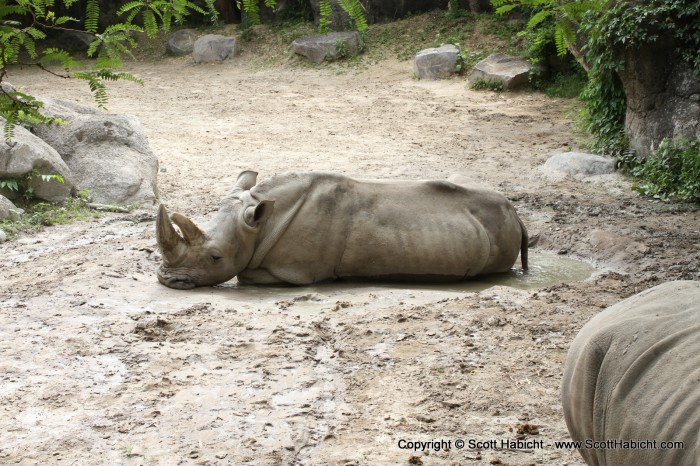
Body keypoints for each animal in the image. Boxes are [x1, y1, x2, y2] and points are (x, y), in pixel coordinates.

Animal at [156, 170, 528, 288]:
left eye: (216, 257)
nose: (165, 279)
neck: (261, 222)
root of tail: (517, 213)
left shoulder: (294, 272)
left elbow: (247, 274)